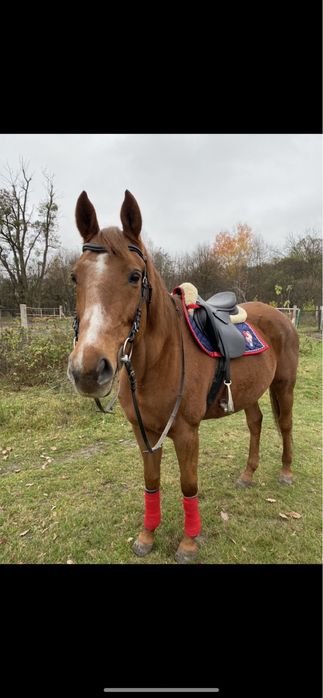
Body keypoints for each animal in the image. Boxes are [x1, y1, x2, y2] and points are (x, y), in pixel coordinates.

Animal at [68, 188, 302, 564]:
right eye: (75, 277)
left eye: (135, 276)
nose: (89, 370)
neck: (158, 359)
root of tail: (281, 315)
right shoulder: (145, 432)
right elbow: (151, 482)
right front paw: (147, 535)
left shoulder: (187, 432)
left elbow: (188, 484)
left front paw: (189, 542)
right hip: (248, 392)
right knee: (256, 423)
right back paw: (247, 474)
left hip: (284, 386)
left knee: (285, 425)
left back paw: (285, 472)